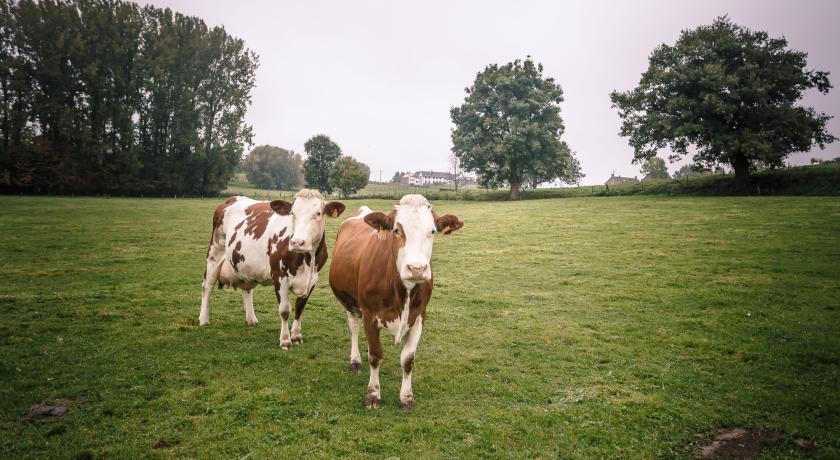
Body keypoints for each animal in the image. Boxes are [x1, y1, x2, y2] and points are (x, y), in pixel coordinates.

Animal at [199, 189, 345, 349]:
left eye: (318, 213)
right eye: (292, 213)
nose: (297, 242)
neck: (307, 260)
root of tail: (232, 199)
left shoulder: (313, 279)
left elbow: (300, 307)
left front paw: (296, 336)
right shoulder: (279, 276)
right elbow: (285, 310)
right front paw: (285, 340)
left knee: (246, 289)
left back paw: (251, 319)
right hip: (214, 252)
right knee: (207, 286)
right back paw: (203, 319)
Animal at [329, 194, 463, 409]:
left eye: (432, 231)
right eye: (396, 230)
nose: (417, 268)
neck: (403, 293)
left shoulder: (419, 317)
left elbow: (408, 359)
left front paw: (406, 397)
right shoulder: (370, 315)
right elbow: (375, 355)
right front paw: (373, 395)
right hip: (350, 302)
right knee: (353, 327)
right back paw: (355, 361)